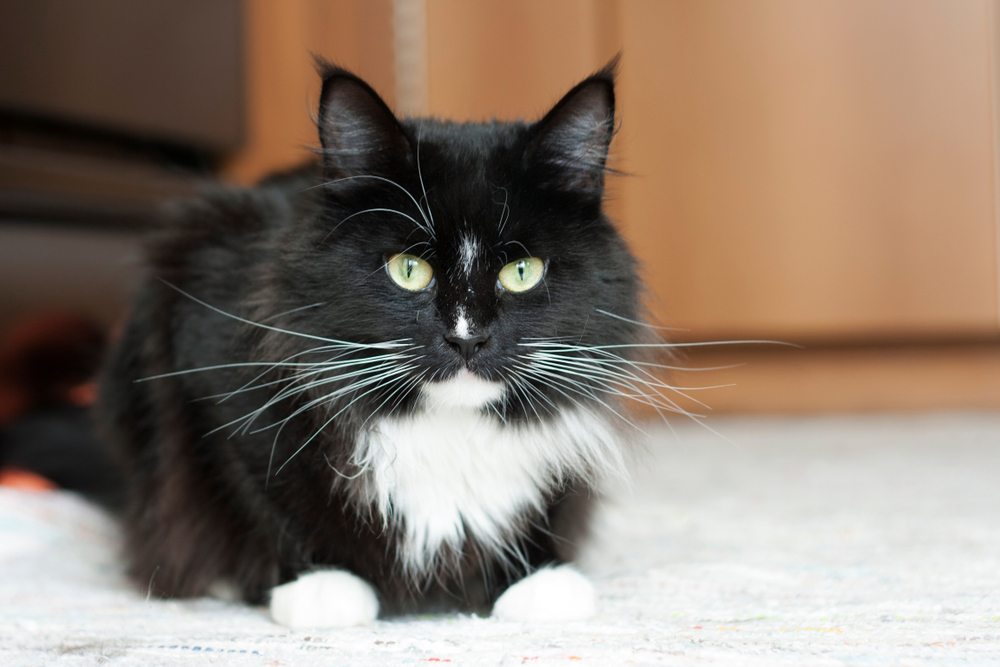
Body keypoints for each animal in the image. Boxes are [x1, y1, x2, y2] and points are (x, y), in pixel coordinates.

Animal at [95, 56, 664, 628]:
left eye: (521, 272)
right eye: (408, 270)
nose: (467, 339)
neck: (446, 430)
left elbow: (546, 502)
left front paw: (537, 577)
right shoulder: (204, 362)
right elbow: (265, 495)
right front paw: (320, 584)